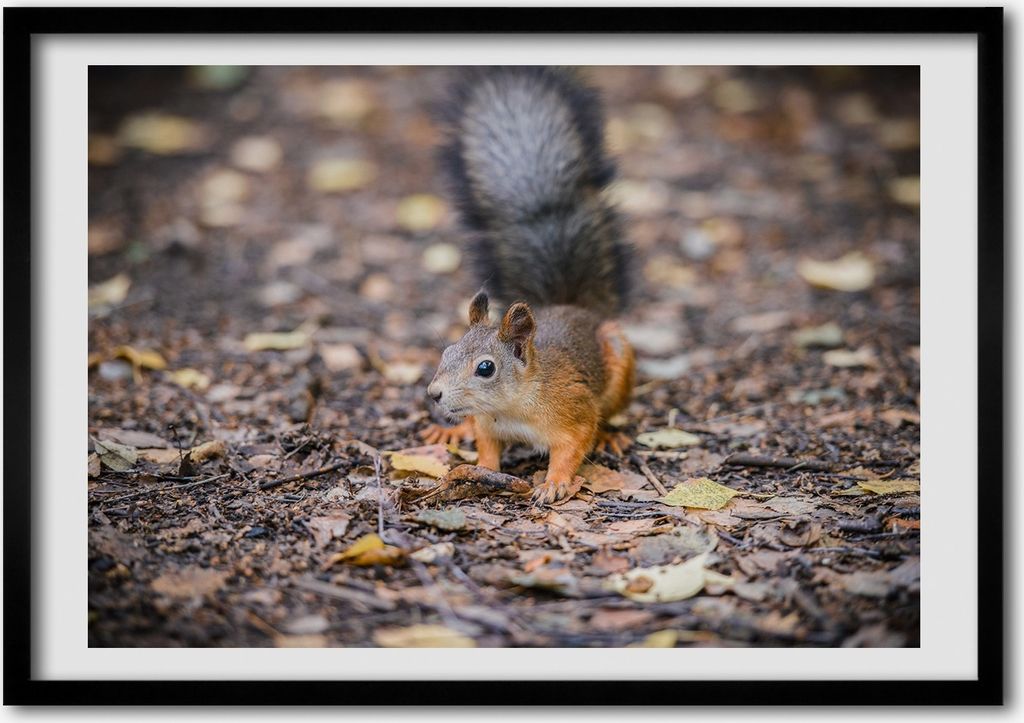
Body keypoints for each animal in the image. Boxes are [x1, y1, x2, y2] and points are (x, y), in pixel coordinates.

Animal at [422, 67, 636, 505]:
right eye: (446, 351)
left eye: (486, 368)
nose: (434, 395)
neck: (513, 406)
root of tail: (574, 308)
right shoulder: (488, 425)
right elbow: (486, 447)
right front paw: (480, 468)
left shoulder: (574, 411)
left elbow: (572, 447)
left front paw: (554, 483)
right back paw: (453, 428)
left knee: (608, 413)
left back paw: (611, 435)